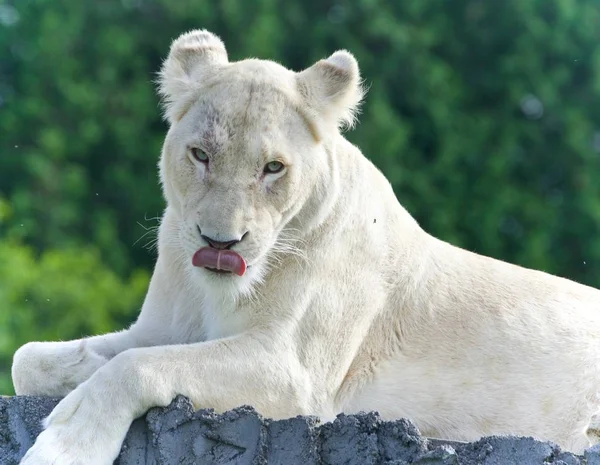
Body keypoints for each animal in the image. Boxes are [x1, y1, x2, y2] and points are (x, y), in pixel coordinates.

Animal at [10, 30, 600, 462]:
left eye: (273, 168)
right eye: (201, 155)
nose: (220, 242)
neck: (216, 292)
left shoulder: (294, 373)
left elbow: (138, 366)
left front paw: (65, 446)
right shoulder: (157, 329)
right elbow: (29, 359)